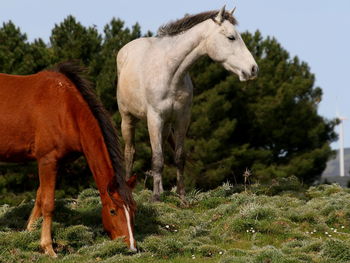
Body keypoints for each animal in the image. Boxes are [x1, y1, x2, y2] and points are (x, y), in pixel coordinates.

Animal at [0, 60, 137, 256]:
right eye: (112, 211)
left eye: (134, 209)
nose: (132, 247)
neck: (66, 110)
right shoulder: (47, 160)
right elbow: (48, 203)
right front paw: (48, 247)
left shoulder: (59, 163)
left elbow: (40, 196)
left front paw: (29, 233)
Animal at [116, 5, 258, 201]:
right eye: (231, 37)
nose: (253, 69)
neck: (170, 73)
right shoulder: (155, 118)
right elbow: (157, 159)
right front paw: (156, 197)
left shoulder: (182, 119)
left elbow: (178, 157)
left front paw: (181, 196)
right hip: (128, 118)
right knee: (130, 152)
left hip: (166, 125)